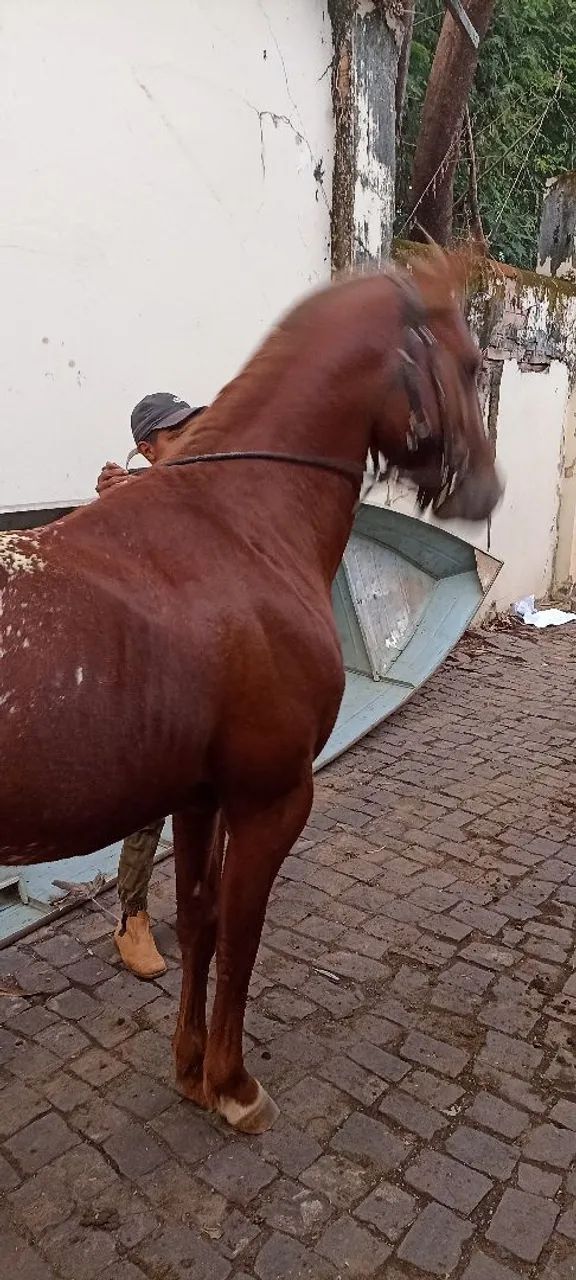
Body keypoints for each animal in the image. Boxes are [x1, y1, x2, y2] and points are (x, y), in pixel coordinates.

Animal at [0, 253, 501, 1133]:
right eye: (471, 364)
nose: (486, 491)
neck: (238, 526)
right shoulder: (274, 798)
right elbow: (241, 933)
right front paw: (234, 1085)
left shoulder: (201, 796)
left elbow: (200, 918)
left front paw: (190, 1067)